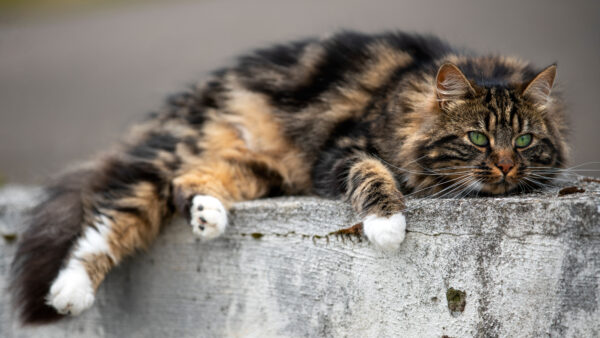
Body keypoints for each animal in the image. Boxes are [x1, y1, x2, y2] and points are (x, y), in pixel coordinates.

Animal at [11, 30, 568, 324]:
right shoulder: (340, 151)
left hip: (258, 167)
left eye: (523, 141)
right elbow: (372, 174)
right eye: (477, 138)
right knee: (114, 217)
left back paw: (208, 216)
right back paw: (70, 291)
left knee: (188, 182)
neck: (403, 100)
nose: (505, 166)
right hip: (185, 151)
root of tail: (192, 96)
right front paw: (387, 225)